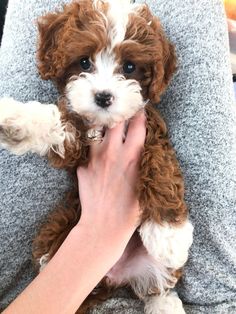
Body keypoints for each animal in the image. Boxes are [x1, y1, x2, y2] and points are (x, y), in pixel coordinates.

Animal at [0, 1, 193, 312]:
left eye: (129, 67)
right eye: (83, 63)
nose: (103, 97)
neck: (106, 124)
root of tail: (112, 277)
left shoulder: (151, 130)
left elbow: (160, 166)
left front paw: (169, 234)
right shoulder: (77, 146)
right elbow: (54, 123)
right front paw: (15, 118)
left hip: (151, 267)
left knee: (158, 288)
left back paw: (166, 304)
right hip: (59, 225)